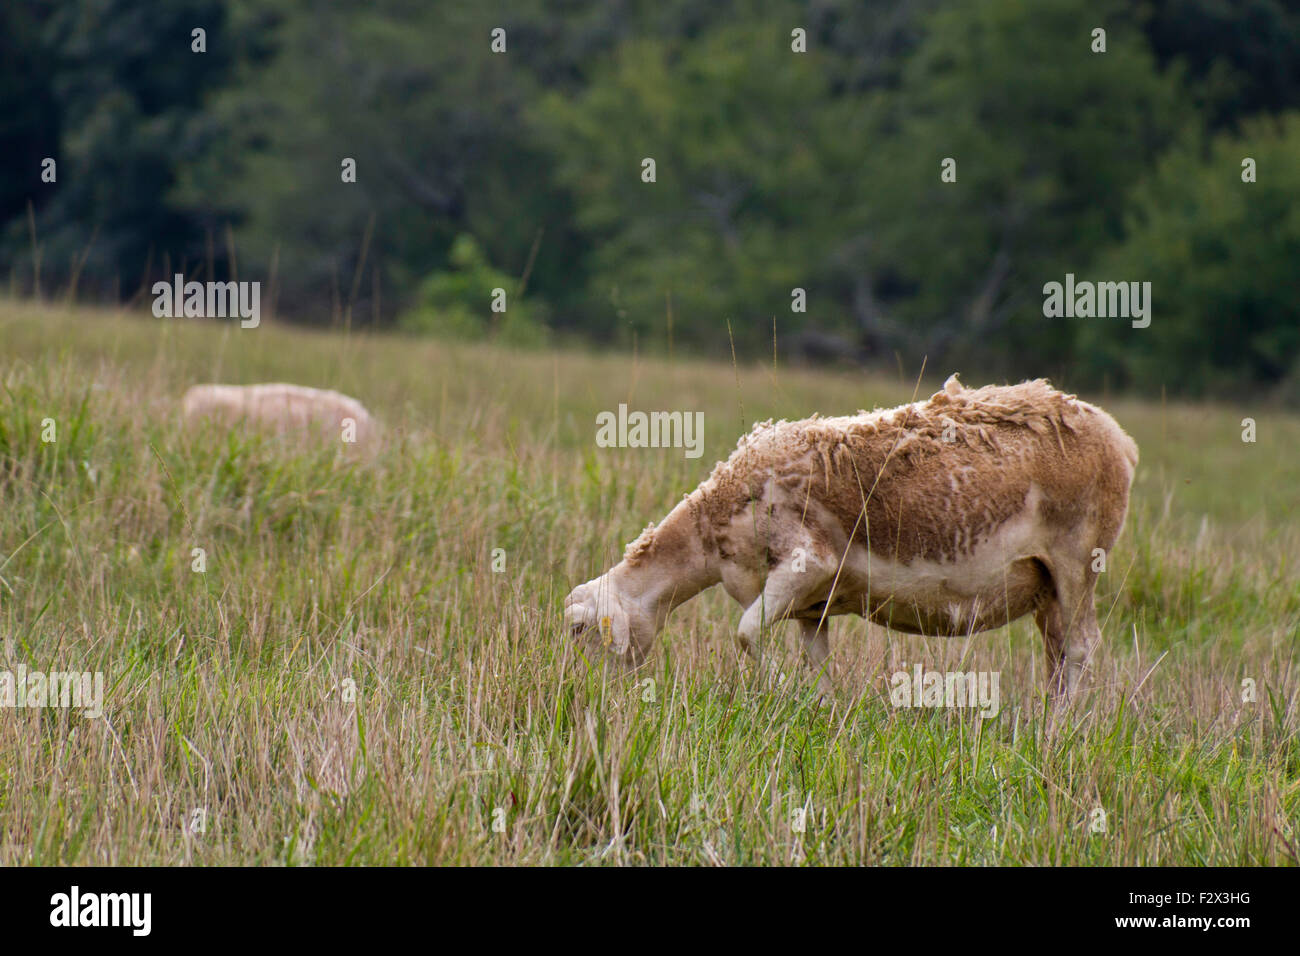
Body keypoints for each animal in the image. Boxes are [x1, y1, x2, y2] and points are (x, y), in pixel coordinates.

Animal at [566, 374, 1138, 702]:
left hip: (1078, 560)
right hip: (1045, 583)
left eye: (579, 630)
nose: (589, 697)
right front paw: (818, 709)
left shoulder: (807, 563)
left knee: (1081, 649)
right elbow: (814, 662)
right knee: (1058, 653)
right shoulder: (811, 606)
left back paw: (1062, 733)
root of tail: (1118, 435)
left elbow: (746, 634)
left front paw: (778, 691)